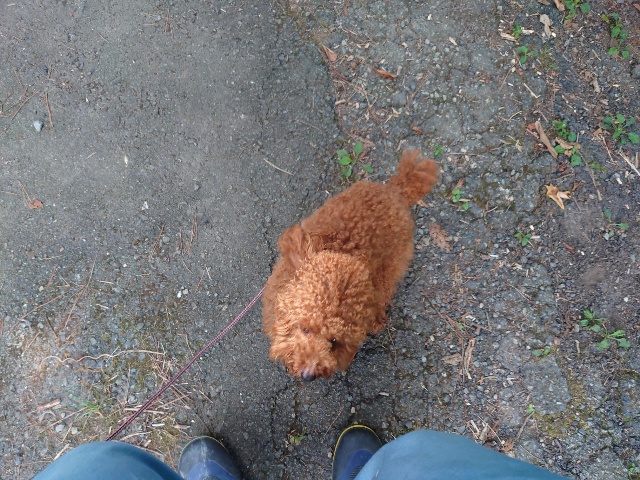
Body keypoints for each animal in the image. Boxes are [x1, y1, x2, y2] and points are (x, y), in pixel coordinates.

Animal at [262, 150, 438, 380]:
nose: (308, 375)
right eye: (305, 329)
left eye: (334, 341)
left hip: (392, 265)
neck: (339, 250)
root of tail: (395, 189)